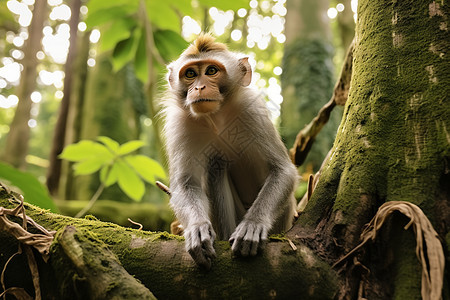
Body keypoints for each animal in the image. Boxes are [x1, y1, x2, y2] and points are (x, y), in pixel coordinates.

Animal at [163, 33, 298, 270]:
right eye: (190, 74)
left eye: (211, 71)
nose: (199, 88)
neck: (217, 116)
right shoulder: (179, 125)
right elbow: (186, 183)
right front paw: (197, 228)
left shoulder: (252, 110)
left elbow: (283, 170)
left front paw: (253, 224)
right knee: (216, 166)